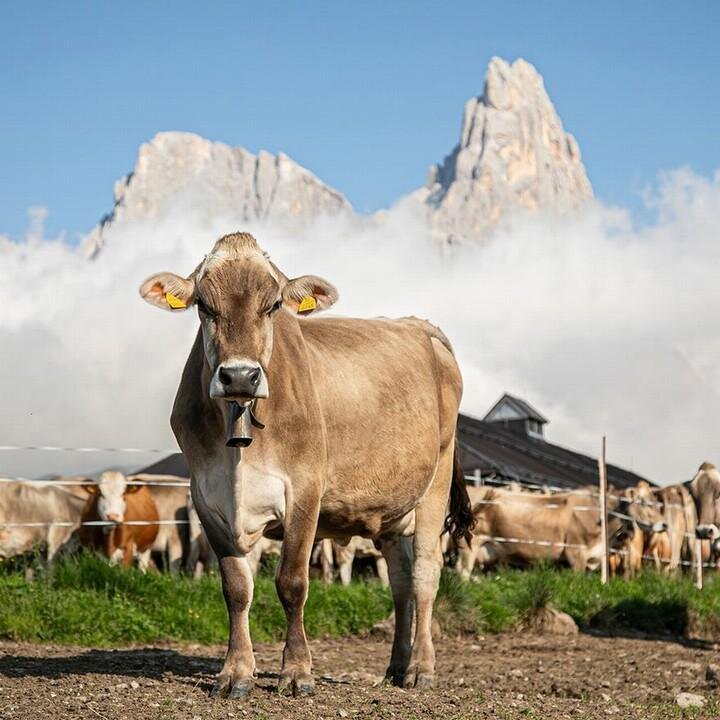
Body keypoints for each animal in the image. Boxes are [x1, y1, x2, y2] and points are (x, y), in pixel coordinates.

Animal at [139, 231, 472, 697]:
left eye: (274, 304)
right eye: (204, 304)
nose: (239, 376)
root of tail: (421, 326)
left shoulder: (304, 491)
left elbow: (292, 582)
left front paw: (296, 671)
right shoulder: (208, 497)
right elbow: (236, 588)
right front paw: (235, 672)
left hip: (435, 488)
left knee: (425, 576)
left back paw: (421, 668)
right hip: (391, 511)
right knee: (401, 582)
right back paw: (395, 666)